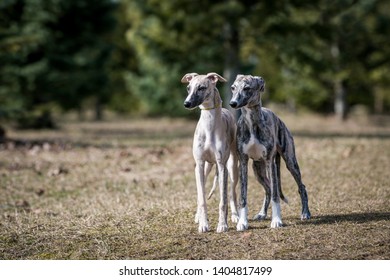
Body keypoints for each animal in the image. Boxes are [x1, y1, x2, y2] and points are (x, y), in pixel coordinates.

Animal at [182, 71, 239, 232]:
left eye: (201, 87)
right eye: (188, 88)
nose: (186, 104)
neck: (209, 125)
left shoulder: (222, 165)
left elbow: (223, 200)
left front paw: (222, 225)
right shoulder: (199, 164)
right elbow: (201, 198)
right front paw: (203, 224)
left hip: (232, 167)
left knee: (232, 193)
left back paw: (235, 216)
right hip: (207, 167)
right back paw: (198, 216)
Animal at [229, 74, 310, 230]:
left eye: (247, 88)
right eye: (233, 87)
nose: (232, 103)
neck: (252, 122)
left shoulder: (269, 162)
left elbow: (275, 196)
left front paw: (276, 220)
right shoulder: (243, 162)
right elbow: (243, 196)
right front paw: (242, 222)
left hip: (290, 161)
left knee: (300, 187)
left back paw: (305, 213)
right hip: (257, 170)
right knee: (268, 189)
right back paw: (262, 213)